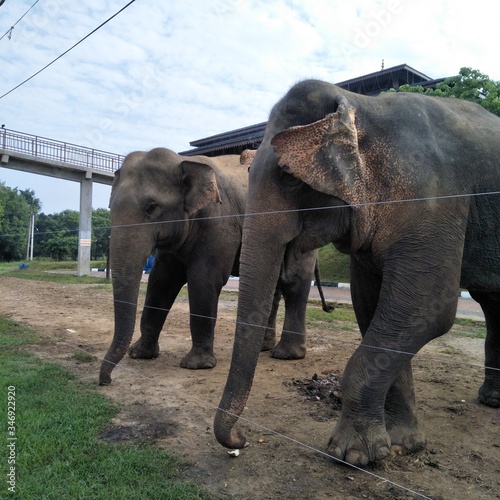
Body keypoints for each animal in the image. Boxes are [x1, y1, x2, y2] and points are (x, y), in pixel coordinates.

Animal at [98, 146, 324, 384]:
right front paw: (140, 354)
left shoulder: (219, 224)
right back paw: (264, 347)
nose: (107, 381)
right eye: (110, 206)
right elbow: (161, 281)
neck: (183, 161)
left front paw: (197, 365)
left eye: (152, 207)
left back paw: (286, 355)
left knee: (294, 284)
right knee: (272, 286)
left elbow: (203, 280)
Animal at [215, 78, 500, 464]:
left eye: (290, 177)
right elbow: (370, 305)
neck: (364, 104)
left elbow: (430, 310)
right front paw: (400, 444)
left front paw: (351, 454)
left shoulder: (434, 201)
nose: (241, 439)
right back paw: (492, 400)